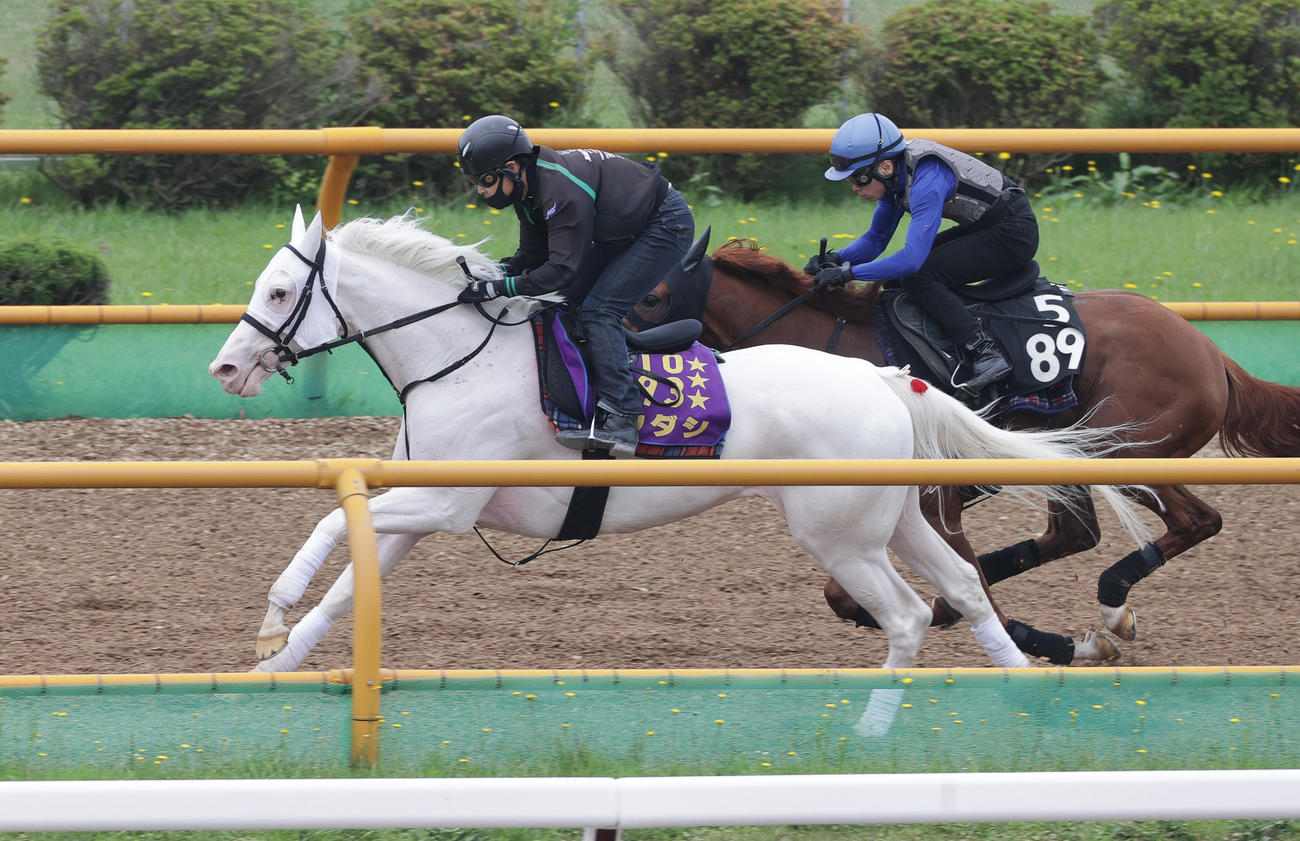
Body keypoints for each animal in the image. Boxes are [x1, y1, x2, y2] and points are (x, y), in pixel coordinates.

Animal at [207, 209, 1159, 682]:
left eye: (281, 289)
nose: (225, 364)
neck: (461, 357)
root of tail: (888, 378)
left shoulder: (444, 503)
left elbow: (332, 524)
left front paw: (270, 614)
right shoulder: (423, 510)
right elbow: (348, 585)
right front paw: (276, 654)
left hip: (840, 535)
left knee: (907, 613)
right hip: (890, 517)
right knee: (959, 585)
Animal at [632, 236, 1300, 659]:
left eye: (650, 297)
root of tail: (1210, 351)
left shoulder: (935, 497)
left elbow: (957, 590)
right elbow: (850, 595)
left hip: (1123, 449)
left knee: (1195, 519)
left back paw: (1112, 605)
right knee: (1076, 532)